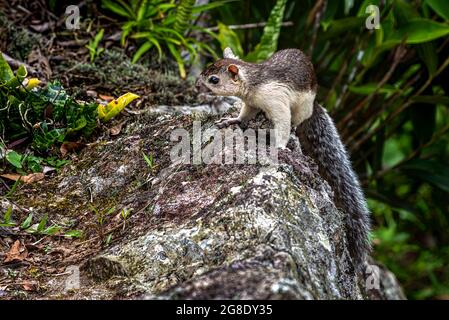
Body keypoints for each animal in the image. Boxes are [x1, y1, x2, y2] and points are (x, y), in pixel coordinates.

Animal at [196, 47, 372, 268]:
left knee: (295, 120)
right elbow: (245, 114)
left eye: (214, 79)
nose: (196, 85)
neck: (253, 83)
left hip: (302, 108)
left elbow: (282, 123)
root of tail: (315, 105)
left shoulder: (275, 99)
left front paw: (279, 147)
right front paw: (232, 120)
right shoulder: (250, 103)